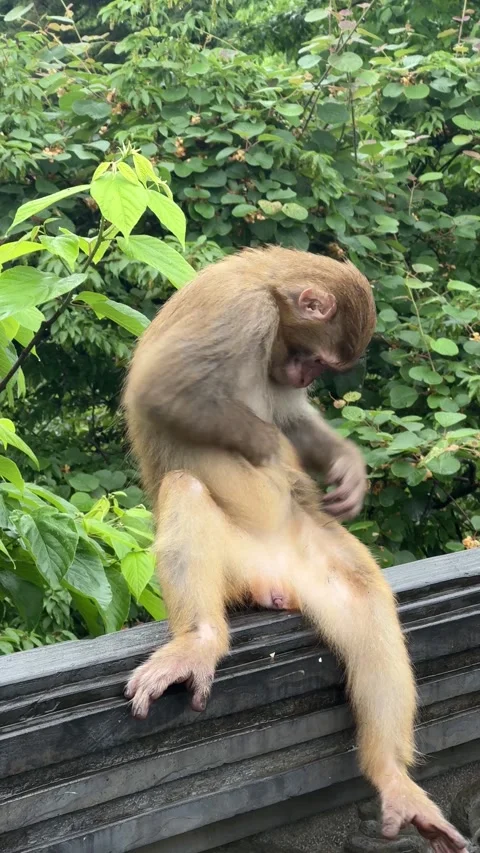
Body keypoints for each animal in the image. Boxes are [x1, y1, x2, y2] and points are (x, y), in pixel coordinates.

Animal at [122, 247, 467, 853]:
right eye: (315, 358)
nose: (306, 375)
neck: (268, 285)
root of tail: (273, 576)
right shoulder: (243, 314)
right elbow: (162, 389)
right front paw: (268, 446)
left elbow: (293, 419)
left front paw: (348, 471)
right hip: (236, 561)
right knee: (186, 489)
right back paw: (199, 641)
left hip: (311, 553)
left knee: (363, 597)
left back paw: (391, 776)